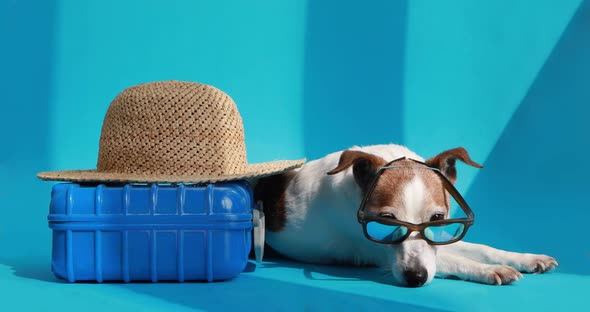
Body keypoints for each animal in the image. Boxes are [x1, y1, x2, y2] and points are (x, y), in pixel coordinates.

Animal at [254, 145, 560, 286]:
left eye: (436, 218)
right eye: (385, 222)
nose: (415, 277)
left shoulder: (439, 239)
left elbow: (482, 248)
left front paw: (525, 259)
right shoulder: (376, 251)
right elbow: (455, 260)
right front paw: (488, 270)